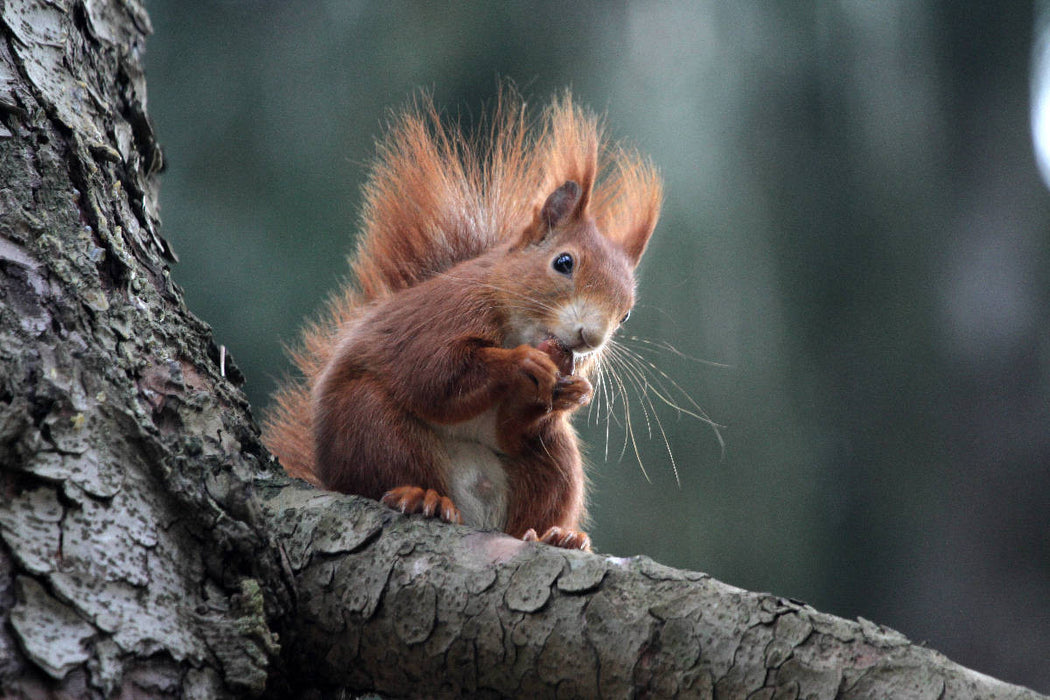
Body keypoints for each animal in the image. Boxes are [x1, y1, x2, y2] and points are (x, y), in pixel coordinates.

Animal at [262, 92, 662, 550]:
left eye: (626, 313)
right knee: (385, 470)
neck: (517, 324)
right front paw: (519, 363)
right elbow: (436, 373)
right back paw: (422, 497)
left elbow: (513, 430)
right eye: (564, 262)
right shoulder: (444, 314)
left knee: (534, 497)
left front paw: (573, 392)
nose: (590, 338)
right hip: (369, 423)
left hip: (555, 462)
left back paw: (553, 536)